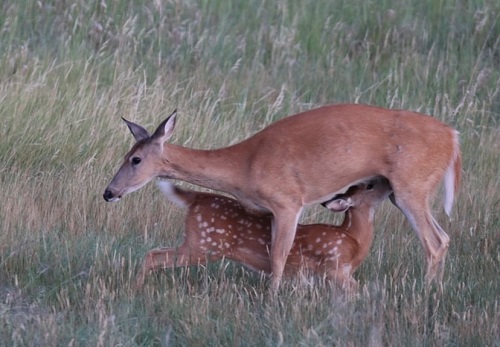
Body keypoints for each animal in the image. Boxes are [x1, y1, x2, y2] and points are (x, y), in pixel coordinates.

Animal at [137, 177, 394, 290]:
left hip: (197, 243)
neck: (352, 237)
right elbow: (357, 291)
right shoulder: (335, 265)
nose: (390, 182)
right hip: (204, 245)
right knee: (154, 255)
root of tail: (195, 198)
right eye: (370, 185)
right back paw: (136, 288)